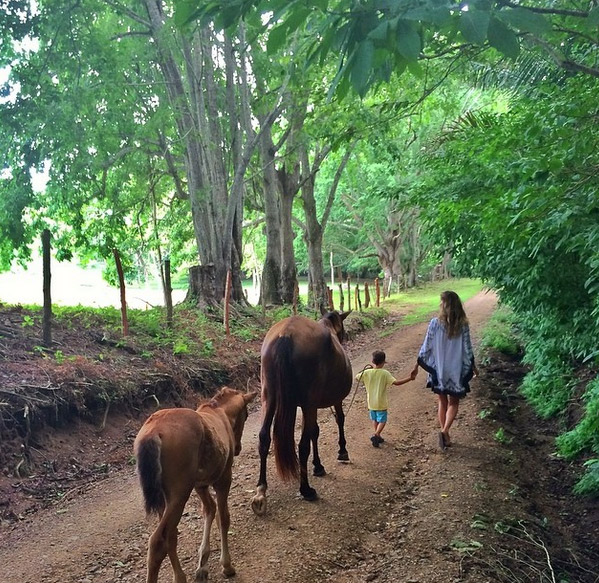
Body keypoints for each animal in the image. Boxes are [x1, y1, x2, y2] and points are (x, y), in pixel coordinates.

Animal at [135, 388, 256, 583]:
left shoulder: (200, 485)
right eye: (245, 415)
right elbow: (223, 518)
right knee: (159, 541)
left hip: (165, 499)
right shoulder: (224, 479)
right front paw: (227, 565)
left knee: (170, 535)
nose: (237, 448)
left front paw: (203, 563)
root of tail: (154, 432)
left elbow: (209, 509)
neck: (219, 412)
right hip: (179, 495)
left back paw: (180, 576)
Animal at [252, 310, 354, 516]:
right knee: (302, 444)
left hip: (269, 398)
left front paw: (318, 465)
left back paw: (261, 491)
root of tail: (285, 334)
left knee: (264, 437)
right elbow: (338, 420)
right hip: (308, 402)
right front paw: (342, 451)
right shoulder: (329, 401)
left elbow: (315, 431)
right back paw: (306, 489)